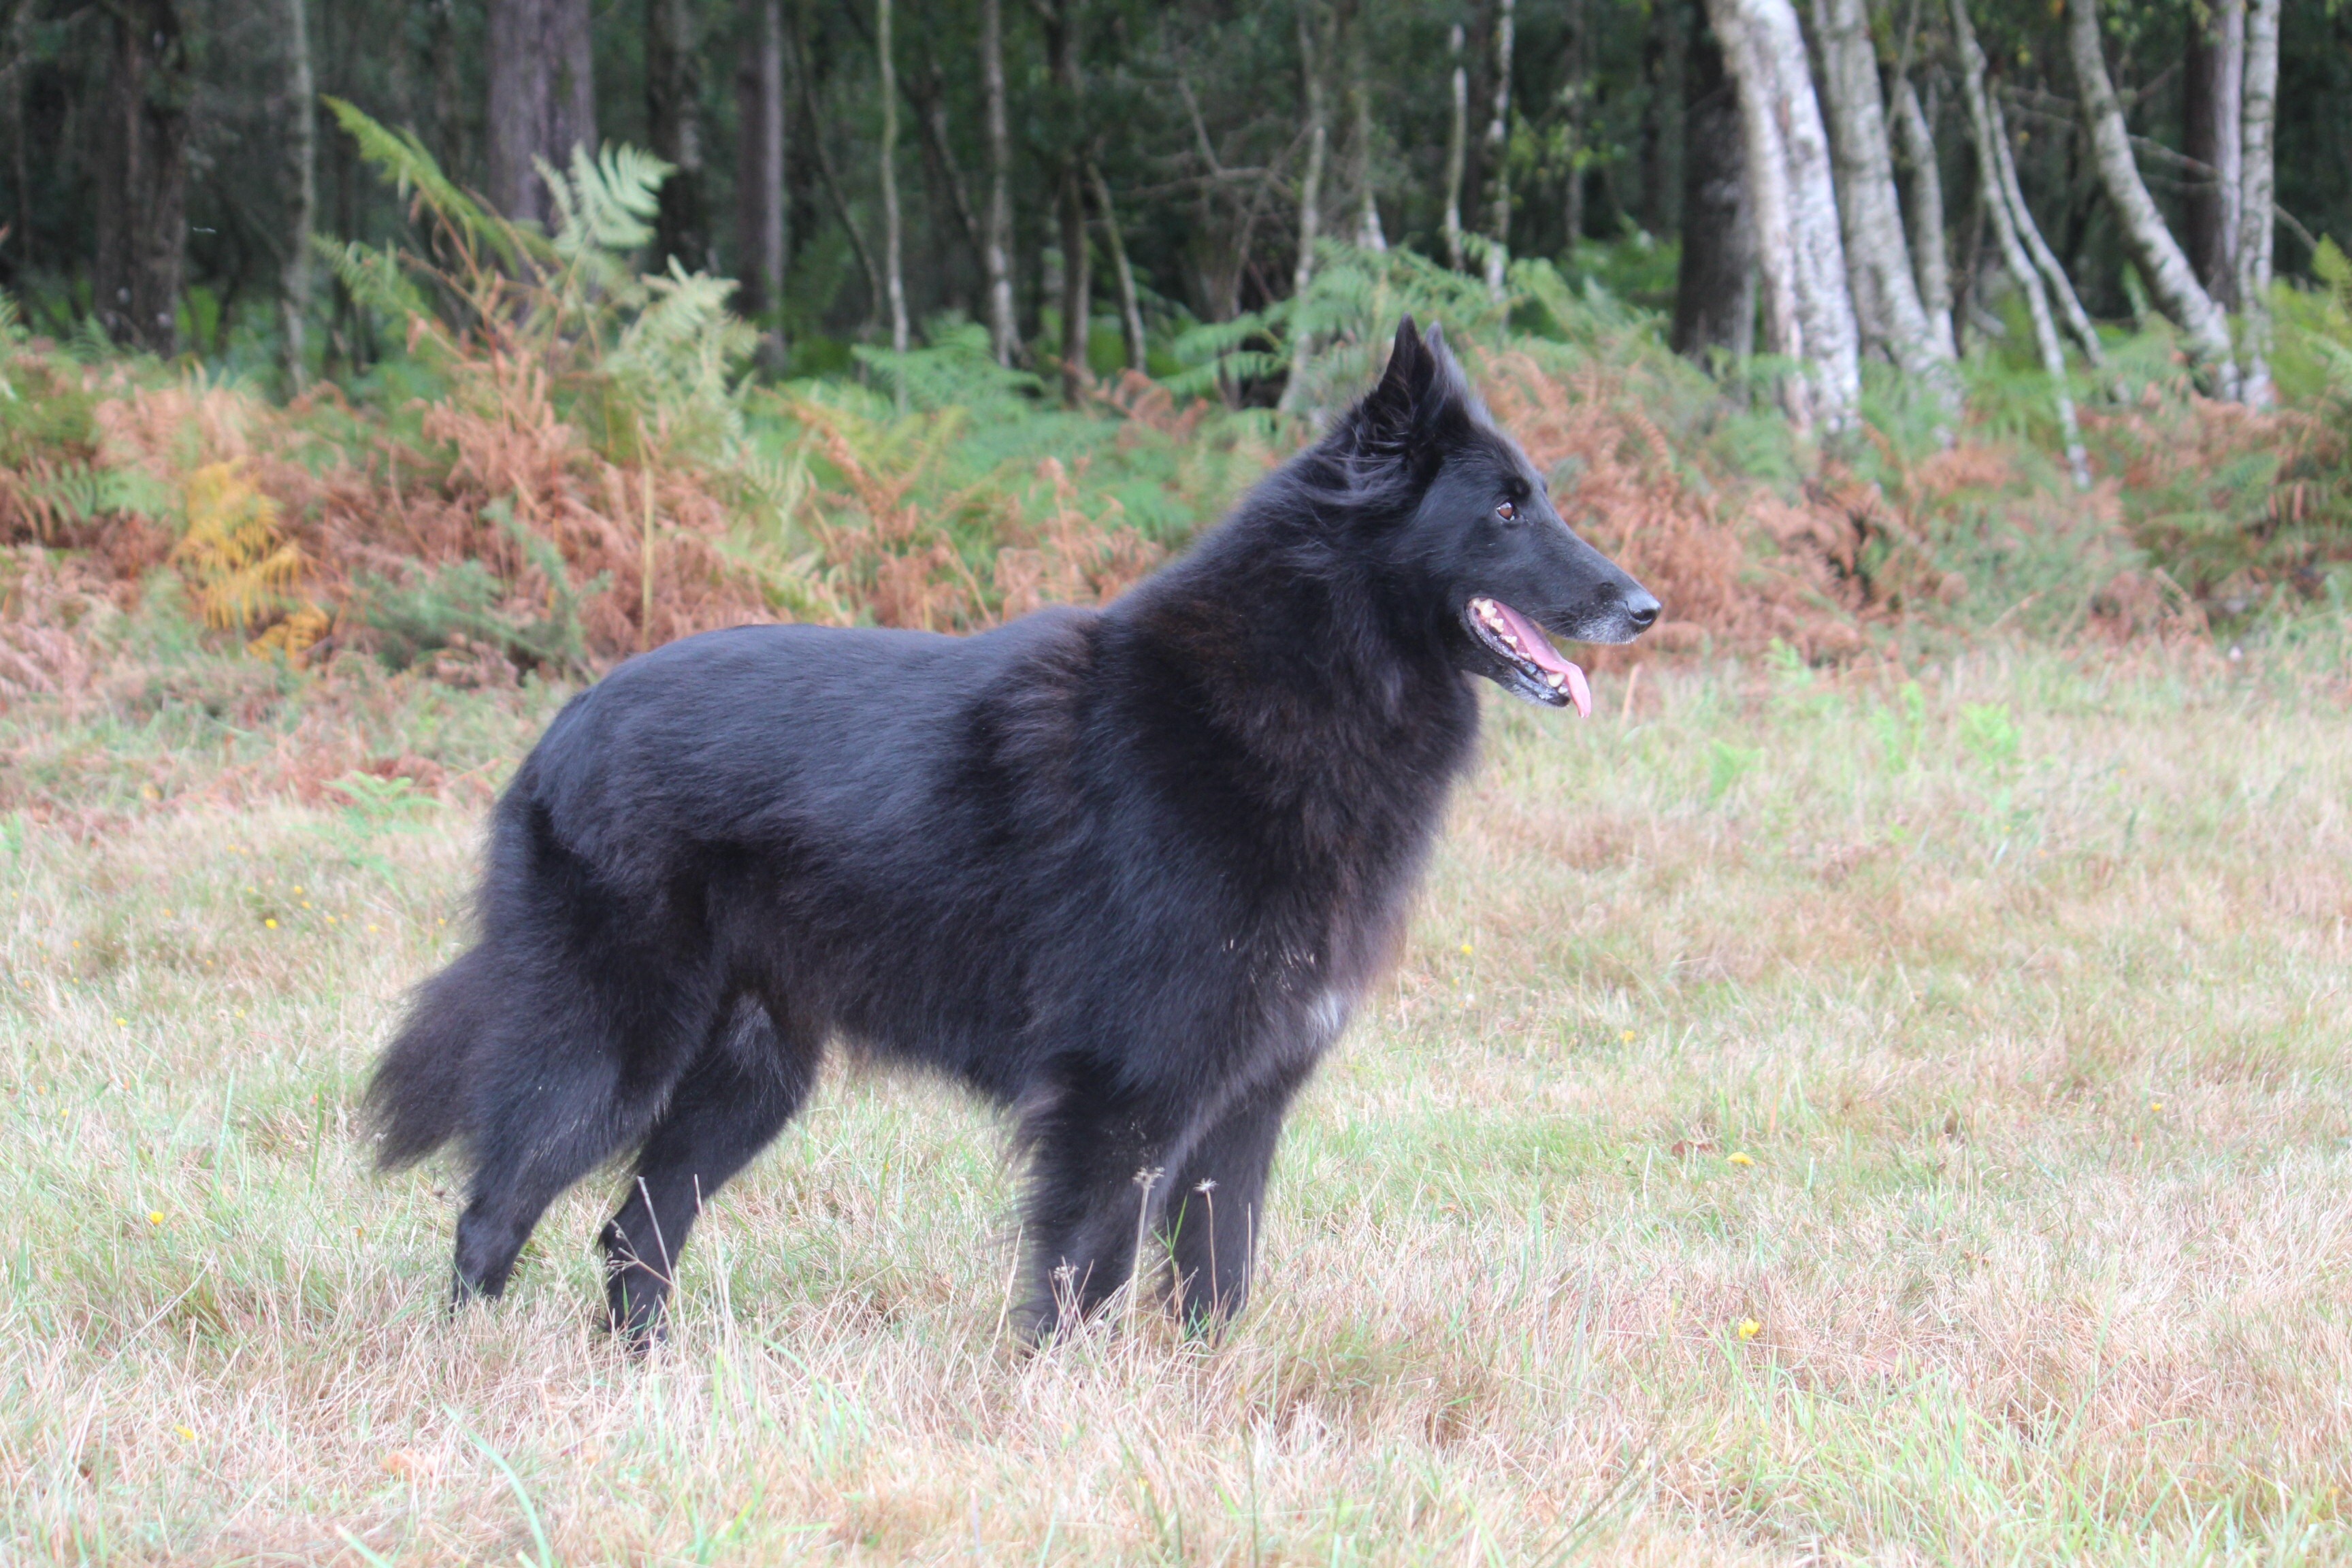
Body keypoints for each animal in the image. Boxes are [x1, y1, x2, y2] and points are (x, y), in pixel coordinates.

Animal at [372, 322, 1656, 1354]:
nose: (1643, 607)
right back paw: (472, 1375)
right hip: (612, 1045)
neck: (1305, 677)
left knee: (634, 1233)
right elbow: (1083, 1276)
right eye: (1504, 508)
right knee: (495, 1209)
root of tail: (565, 725)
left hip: (749, 1076)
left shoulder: (1243, 1104)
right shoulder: (1125, 1096)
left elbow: (1216, 1286)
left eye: (1541, 496)